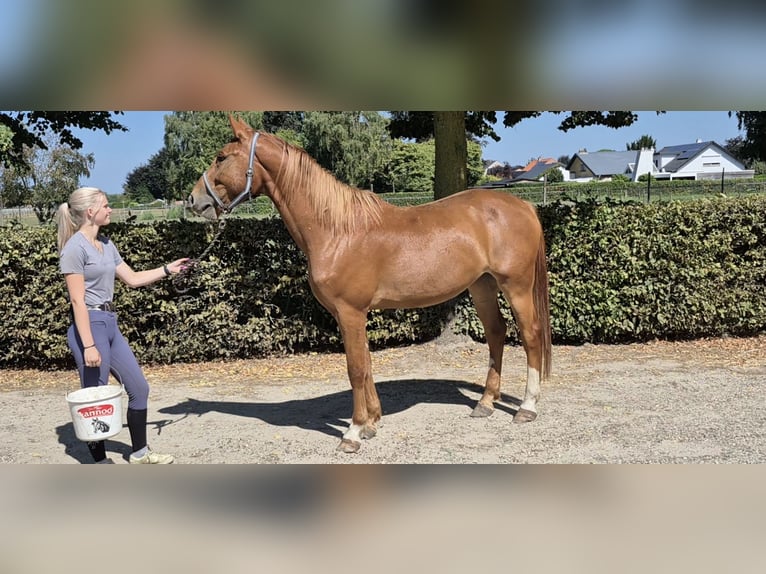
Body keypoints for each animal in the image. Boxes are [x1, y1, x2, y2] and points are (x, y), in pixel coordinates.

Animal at [188, 115, 552, 454]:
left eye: (221, 157)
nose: (193, 200)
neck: (337, 231)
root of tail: (522, 205)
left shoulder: (350, 312)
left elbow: (355, 368)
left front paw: (352, 432)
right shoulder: (351, 314)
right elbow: (366, 364)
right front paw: (372, 422)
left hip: (516, 286)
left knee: (530, 334)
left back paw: (527, 407)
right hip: (482, 286)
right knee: (496, 333)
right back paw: (485, 403)